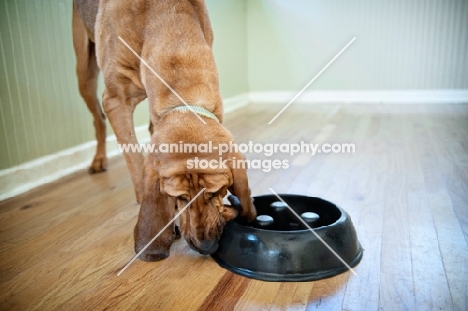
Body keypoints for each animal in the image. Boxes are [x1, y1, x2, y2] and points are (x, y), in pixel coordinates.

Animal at [72, 0, 256, 262]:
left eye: (215, 193)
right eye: (180, 198)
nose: (206, 247)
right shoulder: (115, 101)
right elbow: (137, 167)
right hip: (84, 72)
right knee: (98, 118)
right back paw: (98, 160)